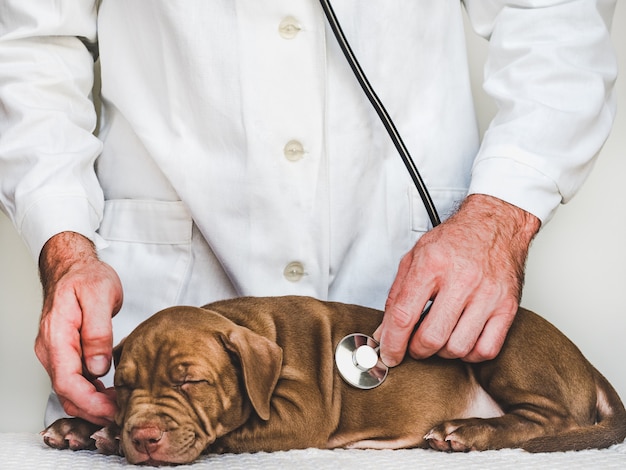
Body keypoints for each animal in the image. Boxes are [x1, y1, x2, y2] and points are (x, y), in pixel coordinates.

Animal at [40, 296, 624, 464]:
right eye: (123, 386)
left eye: (190, 383)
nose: (142, 436)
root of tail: (587, 365)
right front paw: (80, 425)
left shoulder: (301, 414)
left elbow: (232, 429)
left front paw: (105, 434)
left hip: (501, 347)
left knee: (550, 420)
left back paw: (465, 431)